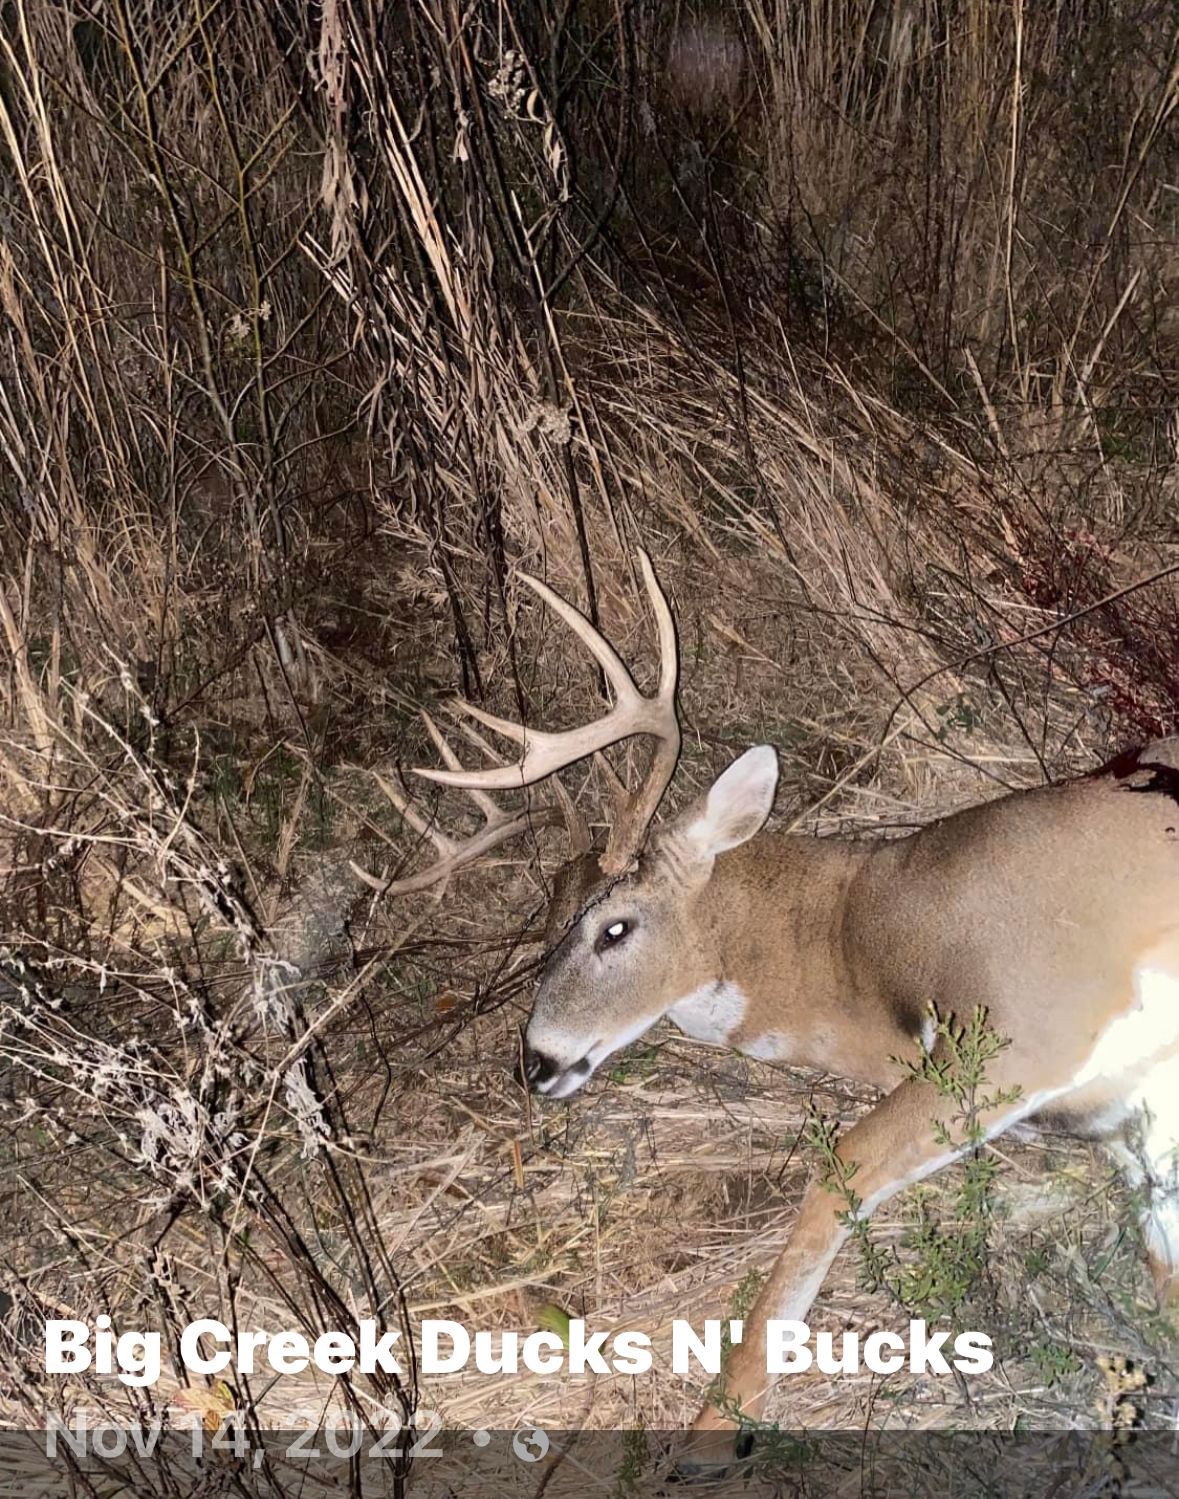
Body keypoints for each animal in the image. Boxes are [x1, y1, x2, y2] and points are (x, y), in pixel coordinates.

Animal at [382, 548, 1179, 1470]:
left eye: (615, 926)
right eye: (544, 934)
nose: (535, 1061)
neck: (862, 932)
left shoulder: (1030, 1017)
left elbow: (840, 1169)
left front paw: (713, 1423)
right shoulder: (1131, 1117)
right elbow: (1164, 1281)